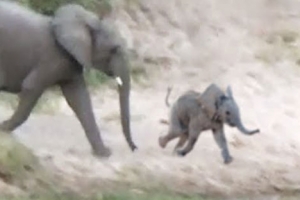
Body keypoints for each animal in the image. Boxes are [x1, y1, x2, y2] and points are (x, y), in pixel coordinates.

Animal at [0, 1, 137, 158]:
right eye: (114, 49)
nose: (135, 148)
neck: (90, 21)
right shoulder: (52, 59)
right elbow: (31, 86)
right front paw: (3, 128)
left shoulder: (72, 62)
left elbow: (79, 99)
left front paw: (104, 153)